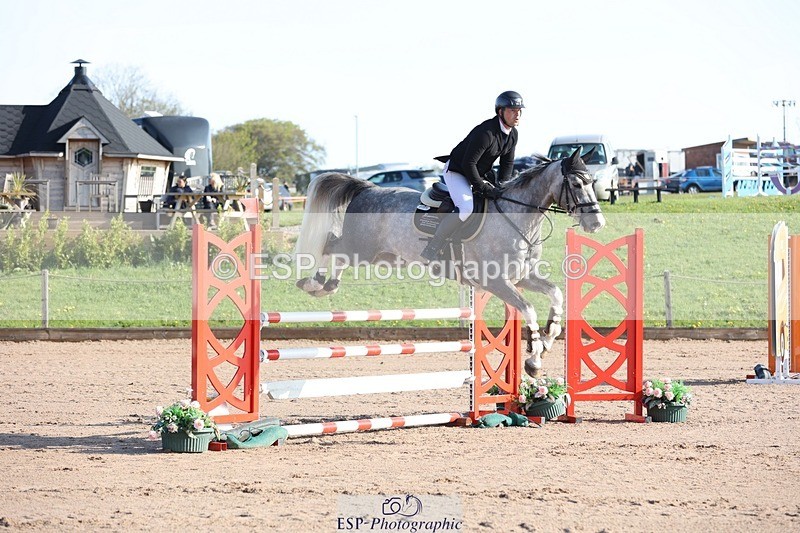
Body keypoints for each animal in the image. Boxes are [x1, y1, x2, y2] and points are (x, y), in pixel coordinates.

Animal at [294, 148, 605, 376]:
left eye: (592, 183)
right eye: (576, 183)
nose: (597, 224)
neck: (516, 216)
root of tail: (367, 187)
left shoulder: (521, 277)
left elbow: (556, 293)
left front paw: (549, 337)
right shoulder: (495, 280)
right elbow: (528, 309)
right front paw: (534, 360)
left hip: (382, 256)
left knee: (338, 254)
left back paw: (328, 284)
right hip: (361, 248)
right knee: (330, 244)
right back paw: (313, 283)